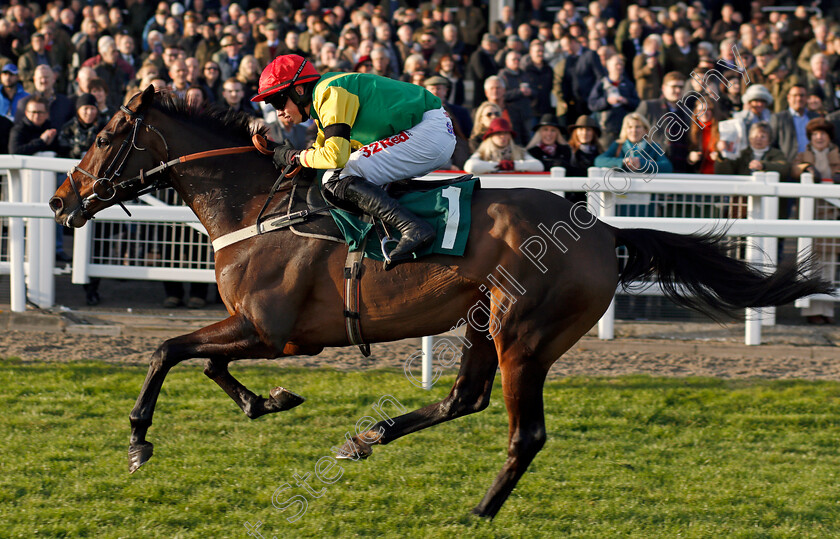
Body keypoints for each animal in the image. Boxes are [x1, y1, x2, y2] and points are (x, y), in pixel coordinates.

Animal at [49, 86, 832, 520]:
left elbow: (165, 349)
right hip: (485, 322)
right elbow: (205, 363)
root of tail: (603, 229)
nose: (59, 201)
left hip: (525, 334)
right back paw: (367, 436)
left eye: (104, 136)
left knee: (523, 433)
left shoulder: (268, 329)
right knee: (465, 399)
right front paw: (265, 402)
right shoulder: (266, 332)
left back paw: (479, 508)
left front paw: (139, 441)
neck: (255, 207)